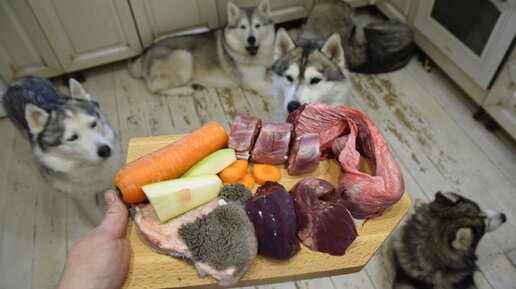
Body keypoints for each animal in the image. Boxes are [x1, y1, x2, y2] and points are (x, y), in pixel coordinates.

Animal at [2, 76, 121, 223]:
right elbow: (97, 218)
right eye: (72, 138)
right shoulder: (84, 199)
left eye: (93, 124)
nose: (105, 150)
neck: (89, 167)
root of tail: (15, 82)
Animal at [128, 0, 274, 97]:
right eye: (243, 27)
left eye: (257, 25)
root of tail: (145, 53)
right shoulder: (254, 82)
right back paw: (186, 89)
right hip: (184, 57)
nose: (251, 39)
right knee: (156, 89)